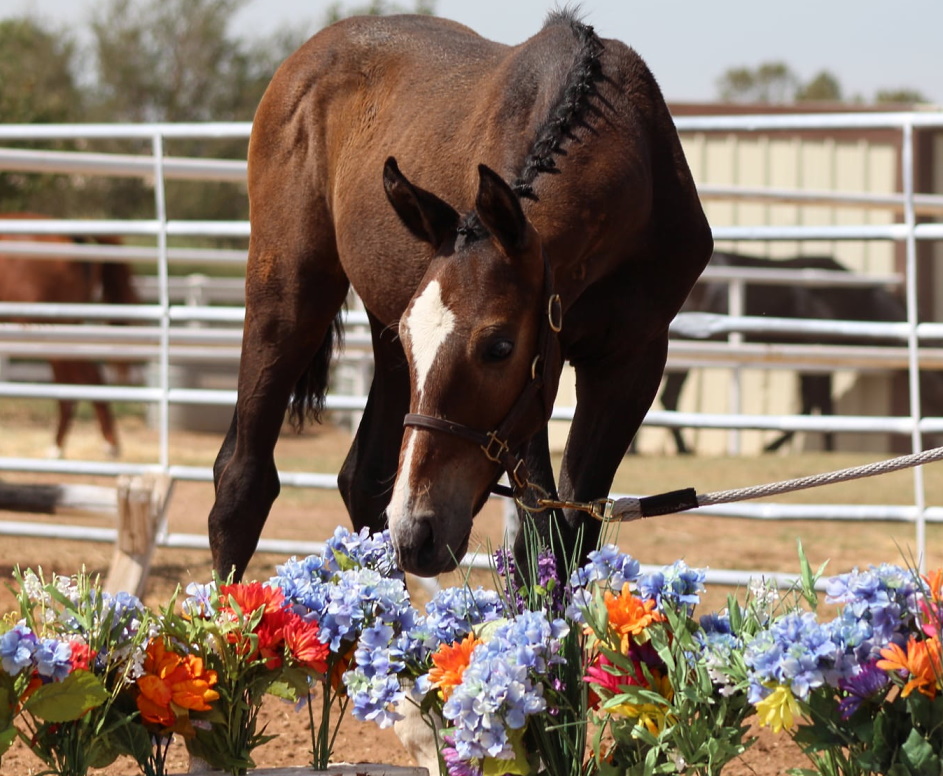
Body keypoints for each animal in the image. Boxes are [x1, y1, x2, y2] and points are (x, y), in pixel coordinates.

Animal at [208, 10, 712, 580]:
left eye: (498, 347)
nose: (418, 530)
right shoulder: (537, 386)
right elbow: (541, 543)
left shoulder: (632, 363)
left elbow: (572, 539)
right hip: (288, 296)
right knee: (241, 482)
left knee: (364, 481)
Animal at [660, 251, 943, 454]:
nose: (938, 437)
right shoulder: (819, 354)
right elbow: (821, 405)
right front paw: (823, 450)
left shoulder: (809, 360)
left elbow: (811, 404)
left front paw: (774, 446)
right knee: (669, 397)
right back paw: (684, 450)